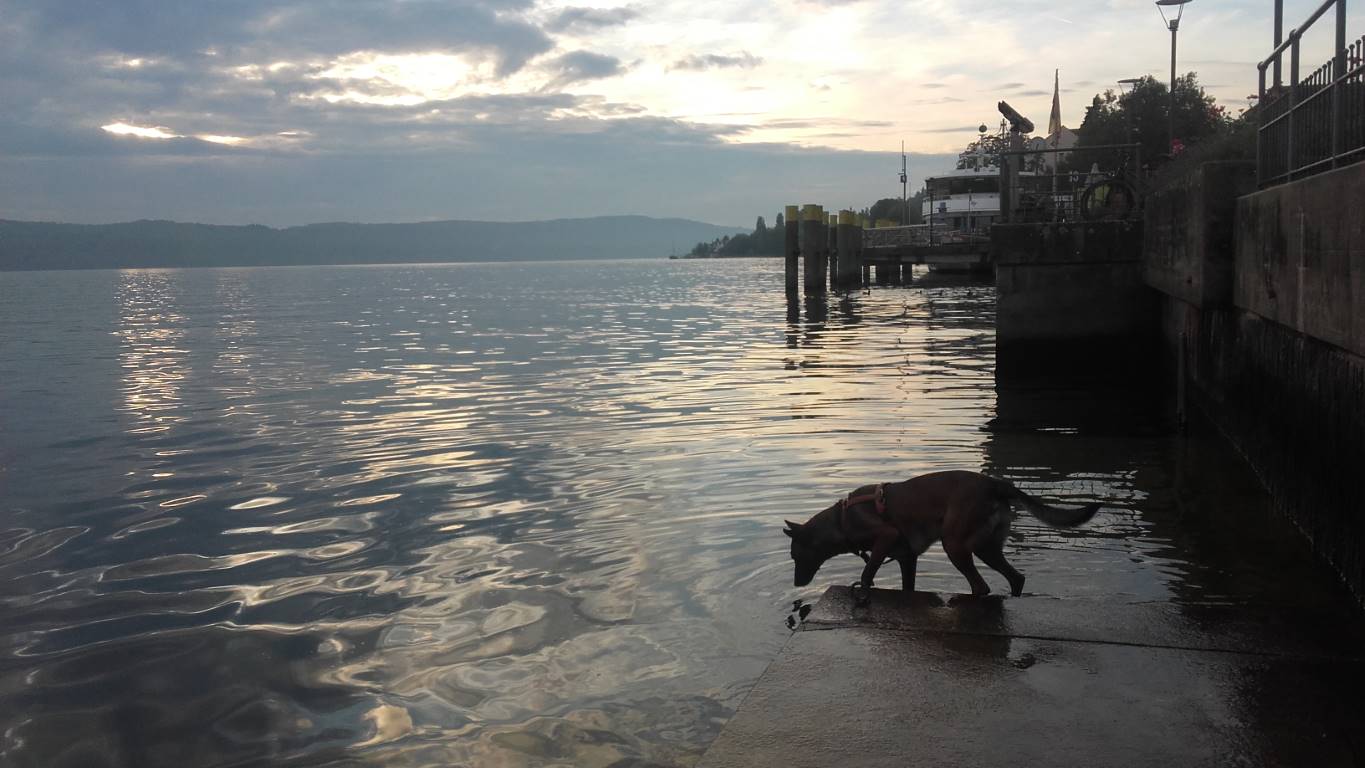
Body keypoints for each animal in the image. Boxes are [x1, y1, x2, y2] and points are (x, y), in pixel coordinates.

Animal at [786, 471, 1092, 597]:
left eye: (794, 556)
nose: (797, 584)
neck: (841, 520)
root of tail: (996, 484)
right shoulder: (907, 559)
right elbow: (907, 586)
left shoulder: (885, 536)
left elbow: (867, 572)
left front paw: (862, 592)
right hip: (986, 547)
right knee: (1016, 577)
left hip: (954, 544)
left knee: (981, 586)